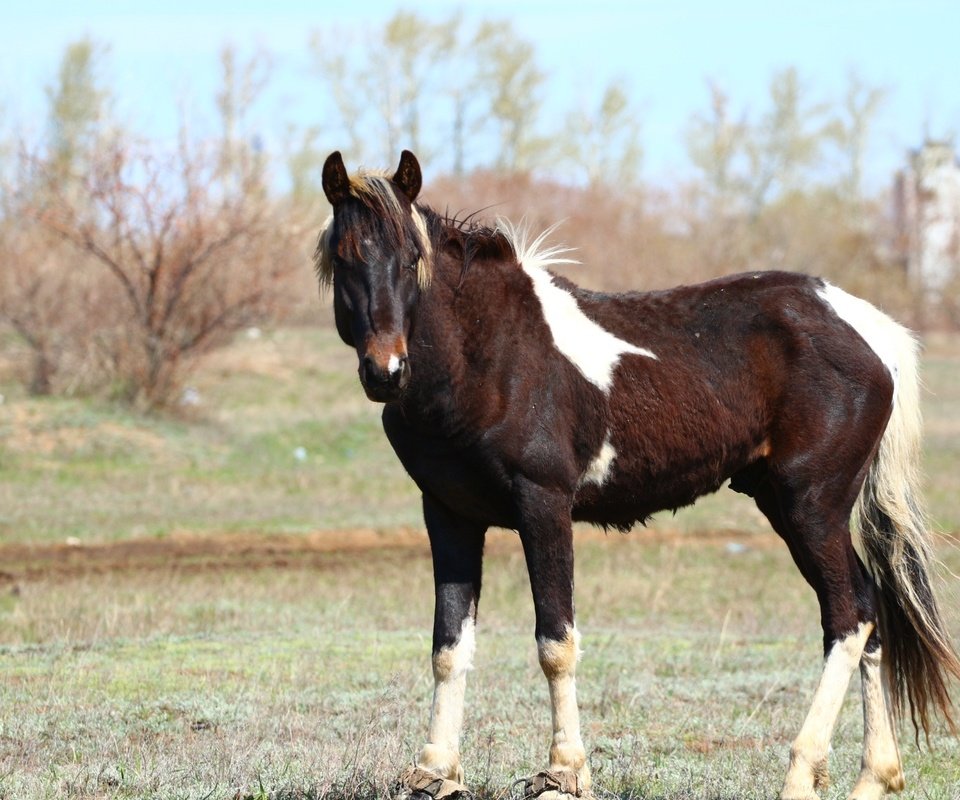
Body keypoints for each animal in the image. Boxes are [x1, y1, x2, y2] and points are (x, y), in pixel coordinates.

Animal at [316, 150, 960, 800]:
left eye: (411, 259)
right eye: (343, 259)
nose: (386, 371)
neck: (490, 357)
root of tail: (871, 330)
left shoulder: (543, 506)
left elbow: (556, 642)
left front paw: (563, 772)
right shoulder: (448, 515)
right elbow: (449, 647)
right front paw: (434, 773)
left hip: (812, 508)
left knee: (848, 618)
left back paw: (803, 772)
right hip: (788, 506)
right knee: (870, 613)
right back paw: (875, 775)